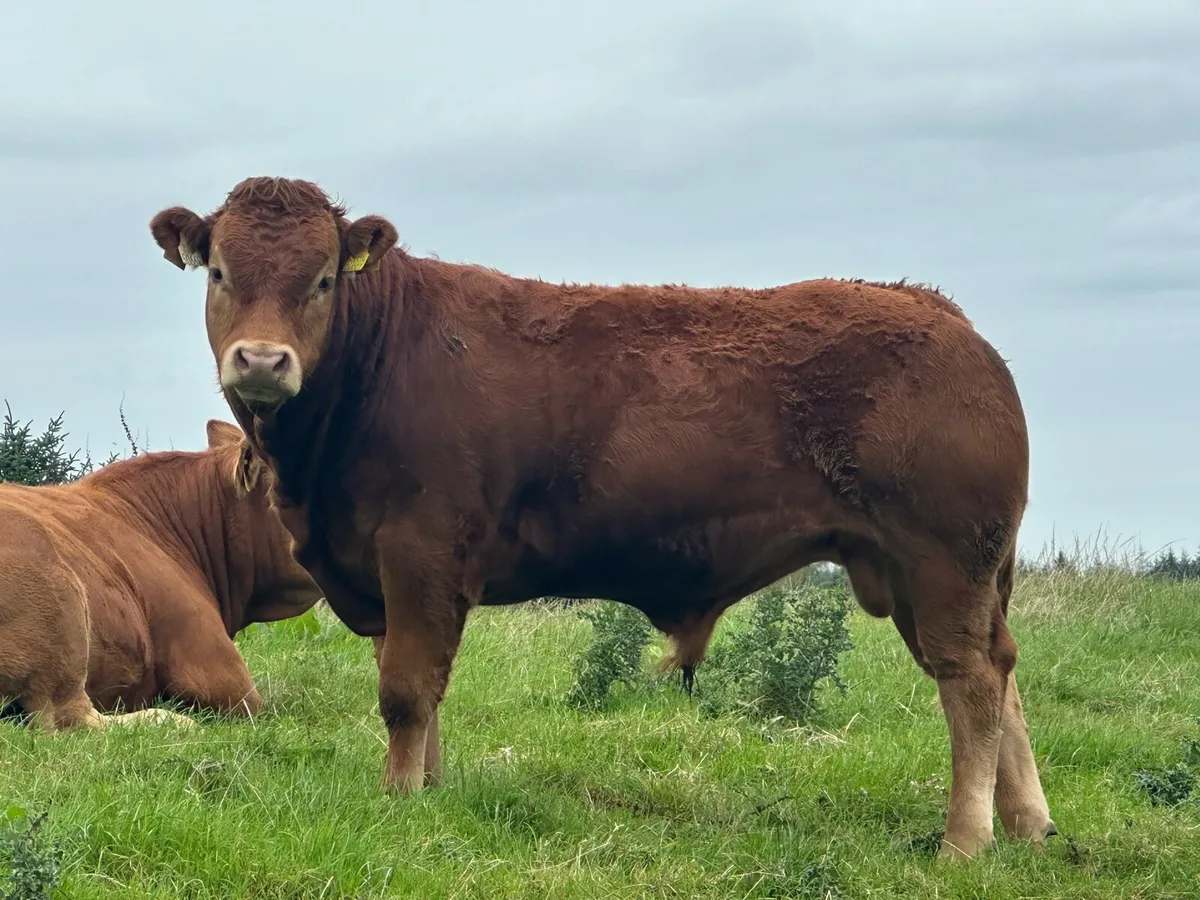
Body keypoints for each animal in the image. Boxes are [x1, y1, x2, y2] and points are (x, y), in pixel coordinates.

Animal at [148, 175, 1054, 860]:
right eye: (219, 272)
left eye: (324, 279)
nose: (263, 360)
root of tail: (941, 314)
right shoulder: (381, 568)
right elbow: (420, 689)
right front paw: (428, 790)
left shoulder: (420, 553)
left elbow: (406, 691)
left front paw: (399, 799)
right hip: (927, 575)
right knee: (1002, 674)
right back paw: (1028, 826)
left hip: (943, 564)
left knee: (971, 683)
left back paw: (965, 841)